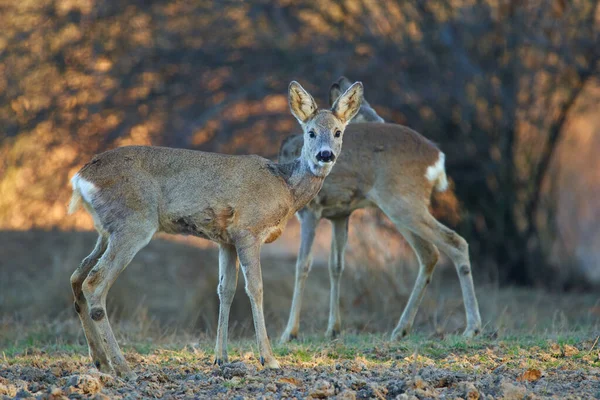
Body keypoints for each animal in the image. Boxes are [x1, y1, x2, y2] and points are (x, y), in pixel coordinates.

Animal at [68, 79, 364, 378]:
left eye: (338, 132)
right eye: (311, 132)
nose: (325, 155)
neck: (285, 189)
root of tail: (80, 178)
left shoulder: (226, 240)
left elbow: (226, 290)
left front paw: (220, 358)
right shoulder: (248, 231)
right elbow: (255, 288)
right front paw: (268, 358)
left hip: (106, 231)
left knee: (77, 277)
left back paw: (101, 361)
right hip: (134, 223)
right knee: (95, 282)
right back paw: (123, 367)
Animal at [278, 77, 480, 344]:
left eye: (338, 132)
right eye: (311, 132)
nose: (326, 155)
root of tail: (438, 157)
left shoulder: (310, 211)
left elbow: (302, 264)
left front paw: (289, 332)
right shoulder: (340, 215)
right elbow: (336, 266)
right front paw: (333, 329)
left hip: (401, 202)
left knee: (455, 242)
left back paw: (472, 328)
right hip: (402, 207)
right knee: (429, 253)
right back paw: (400, 329)